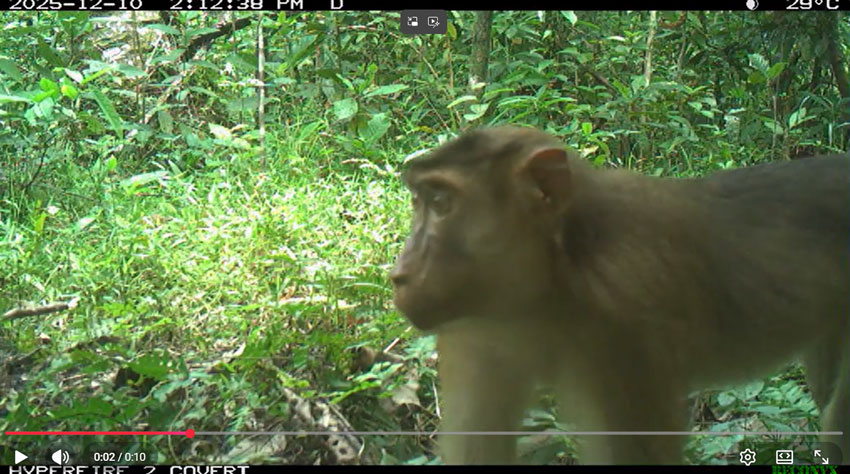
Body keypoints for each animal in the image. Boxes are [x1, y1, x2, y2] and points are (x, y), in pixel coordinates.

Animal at [389, 126, 850, 465]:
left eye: (441, 203)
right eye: (417, 202)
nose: (400, 273)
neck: (552, 281)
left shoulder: (628, 325)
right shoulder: (475, 334)